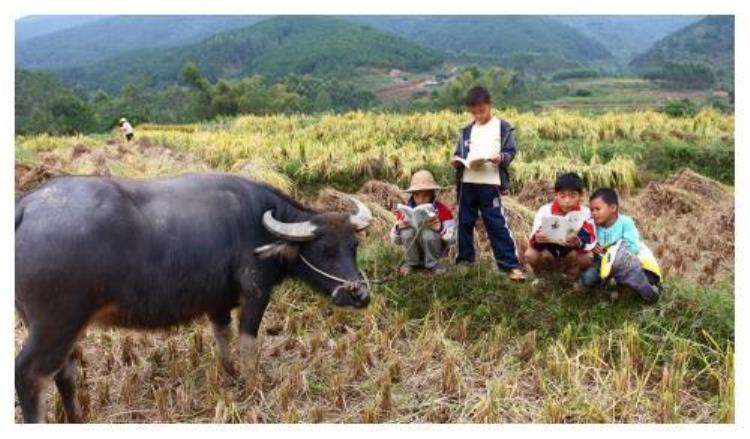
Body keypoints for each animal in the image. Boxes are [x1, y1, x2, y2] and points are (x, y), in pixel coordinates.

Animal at [14, 173, 374, 422]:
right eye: (325, 250)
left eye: (354, 246)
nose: (361, 294)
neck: (257, 222)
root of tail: (24, 208)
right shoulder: (256, 294)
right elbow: (248, 342)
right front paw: (252, 383)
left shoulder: (218, 303)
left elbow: (223, 337)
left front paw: (230, 375)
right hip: (55, 326)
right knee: (29, 375)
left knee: (65, 371)